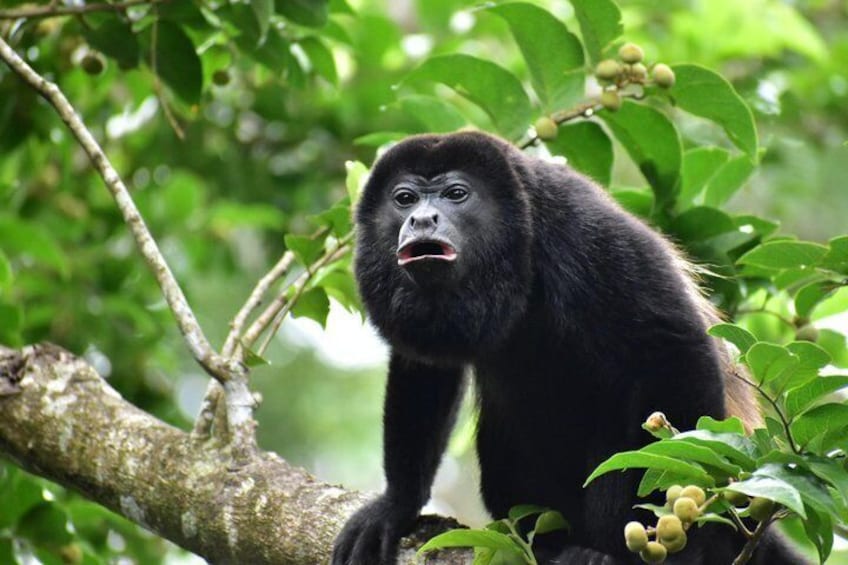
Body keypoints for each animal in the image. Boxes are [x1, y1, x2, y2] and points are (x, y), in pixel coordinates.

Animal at [331, 131, 803, 564]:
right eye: (404, 199)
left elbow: (673, 345)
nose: (421, 220)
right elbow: (425, 366)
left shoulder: (582, 229)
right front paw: (397, 505)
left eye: (456, 194)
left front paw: (673, 544)